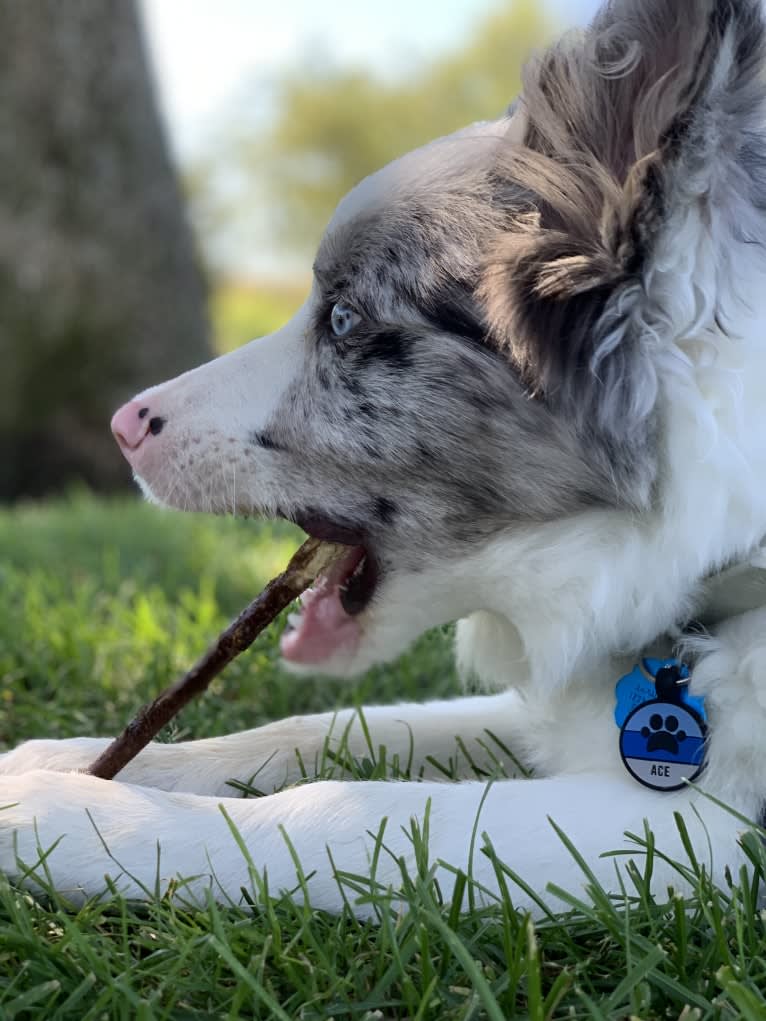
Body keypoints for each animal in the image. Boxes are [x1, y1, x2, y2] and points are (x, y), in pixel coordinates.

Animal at [4, 0, 766, 922]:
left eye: (342, 320)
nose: (122, 425)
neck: (716, 564)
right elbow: (333, 725)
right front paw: (62, 760)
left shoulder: (705, 836)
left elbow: (343, 805)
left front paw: (57, 815)